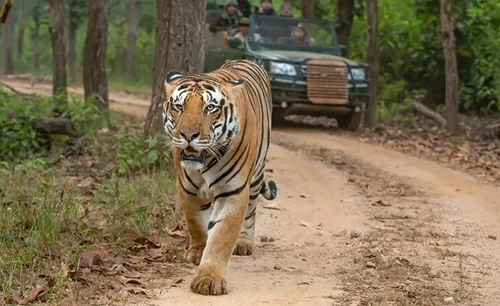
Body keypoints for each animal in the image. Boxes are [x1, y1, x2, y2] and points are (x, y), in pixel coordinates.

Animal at [163, 58, 278, 296]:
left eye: (210, 108)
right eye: (179, 107)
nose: (188, 135)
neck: (204, 162)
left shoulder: (232, 191)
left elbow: (222, 235)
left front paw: (208, 279)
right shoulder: (187, 189)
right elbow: (196, 223)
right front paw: (197, 252)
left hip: (256, 177)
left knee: (251, 210)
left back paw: (244, 242)